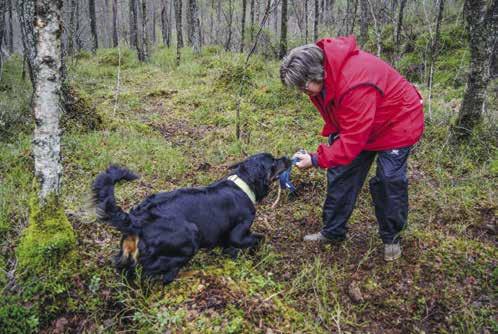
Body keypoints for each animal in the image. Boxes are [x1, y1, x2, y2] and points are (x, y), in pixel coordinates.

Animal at [92, 153, 292, 284]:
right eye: (274, 161)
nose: (288, 157)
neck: (243, 184)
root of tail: (138, 219)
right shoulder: (238, 233)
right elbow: (257, 238)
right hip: (191, 236)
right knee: (157, 273)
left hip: (125, 253)